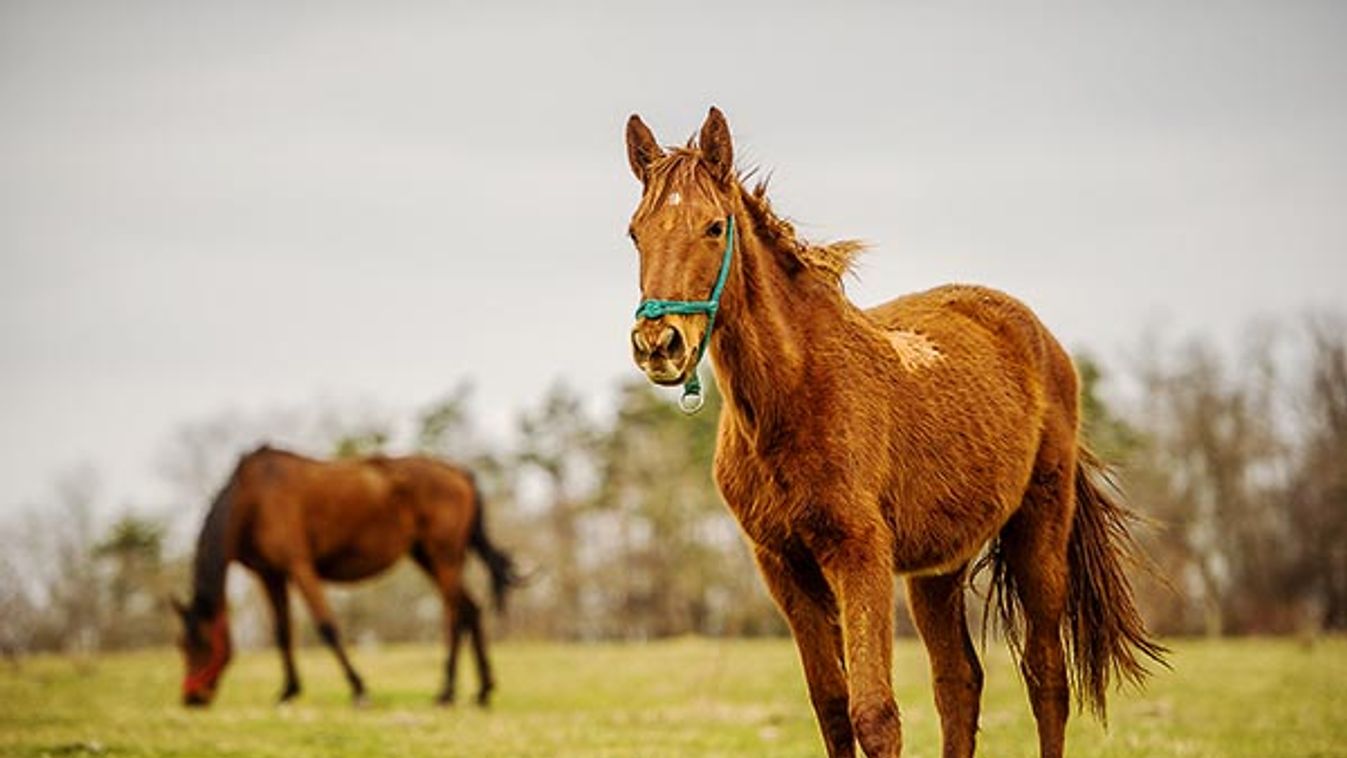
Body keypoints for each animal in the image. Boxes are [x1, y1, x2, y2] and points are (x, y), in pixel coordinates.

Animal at [171, 446, 517, 710]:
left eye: (201, 643)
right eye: (180, 645)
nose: (192, 698)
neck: (252, 499)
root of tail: (459, 473)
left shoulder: (299, 566)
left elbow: (327, 627)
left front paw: (359, 690)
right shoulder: (271, 574)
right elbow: (282, 633)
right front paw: (288, 691)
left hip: (443, 556)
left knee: (455, 615)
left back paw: (446, 692)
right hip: (427, 557)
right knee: (470, 609)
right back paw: (482, 692)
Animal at [619, 108, 1158, 758]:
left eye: (714, 226)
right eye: (635, 233)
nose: (659, 345)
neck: (794, 396)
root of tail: (1038, 336)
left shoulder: (861, 555)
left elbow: (874, 715)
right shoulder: (785, 568)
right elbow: (832, 708)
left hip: (1040, 529)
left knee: (1046, 675)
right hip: (937, 568)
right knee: (959, 681)